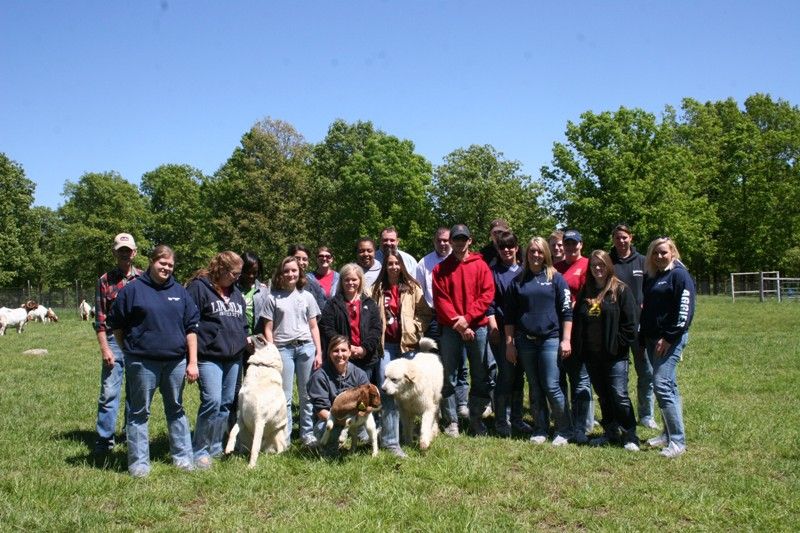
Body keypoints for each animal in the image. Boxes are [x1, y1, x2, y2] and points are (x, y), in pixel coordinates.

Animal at [225, 334, 288, 468]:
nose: (259, 333)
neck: (261, 365)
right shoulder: (241, 417)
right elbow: (233, 432)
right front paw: (228, 448)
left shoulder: (259, 420)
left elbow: (255, 447)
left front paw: (251, 467)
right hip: (245, 436)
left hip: (277, 432)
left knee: (280, 449)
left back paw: (275, 457)